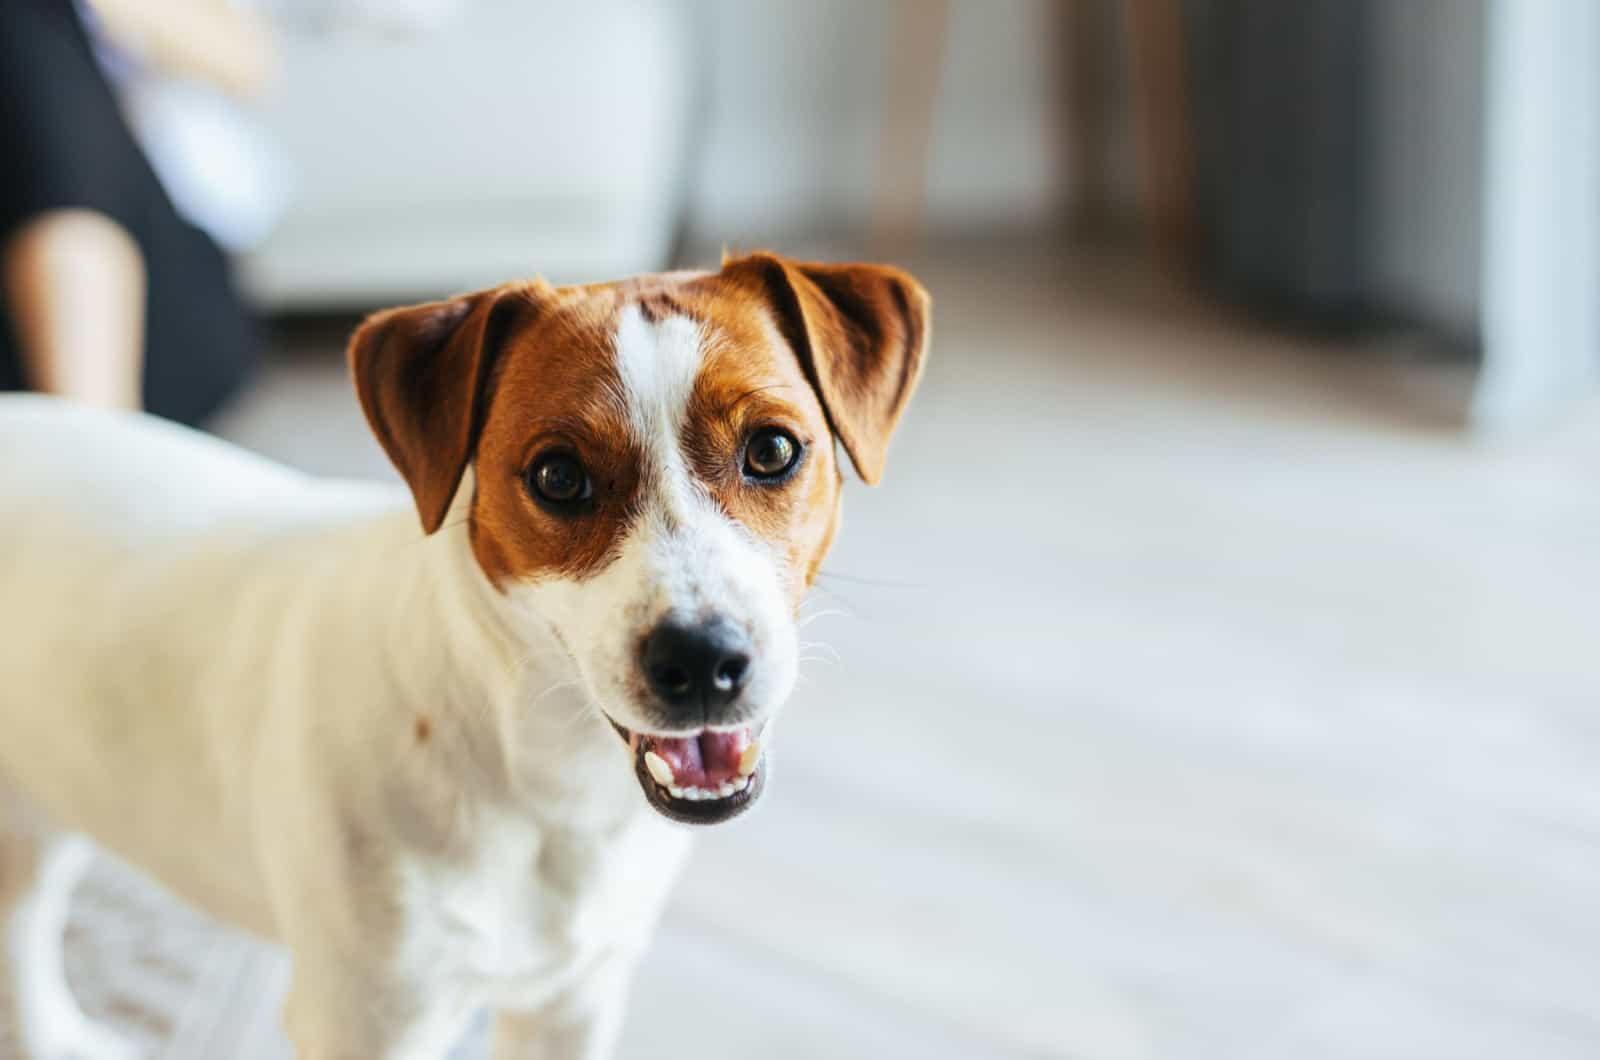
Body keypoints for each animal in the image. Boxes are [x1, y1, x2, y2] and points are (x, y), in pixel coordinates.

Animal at [0, 256, 928, 1060]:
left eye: (771, 450)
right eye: (557, 477)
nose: (702, 661)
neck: (548, 783)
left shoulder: (572, 1002)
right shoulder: (368, 1022)